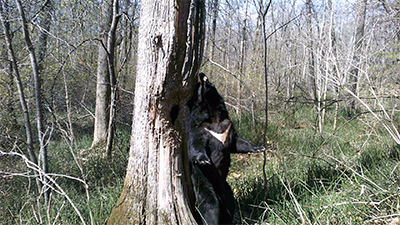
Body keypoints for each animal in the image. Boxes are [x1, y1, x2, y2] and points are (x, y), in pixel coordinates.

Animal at [188, 73, 266, 224]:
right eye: (199, 85)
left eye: (206, 81)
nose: (201, 74)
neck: (214, 117)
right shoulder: (199, 129)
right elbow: (195, 145)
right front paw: (203, 160)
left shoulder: (228, 126)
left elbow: (238, 142)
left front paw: (259, 148)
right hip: (205, 183)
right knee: (210, 206)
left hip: (228, 189)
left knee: (230, 204)